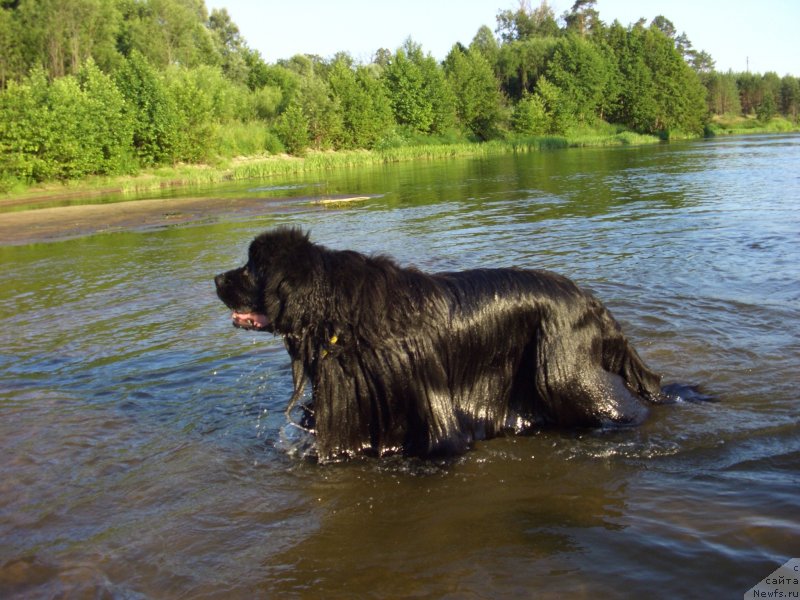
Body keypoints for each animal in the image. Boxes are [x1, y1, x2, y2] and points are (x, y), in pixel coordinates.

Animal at [214, 227, 676, 462]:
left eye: (252, 267)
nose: (217, 279)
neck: (337, 311)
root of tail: (591, 301)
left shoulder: (428, 398)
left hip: (567, 375)